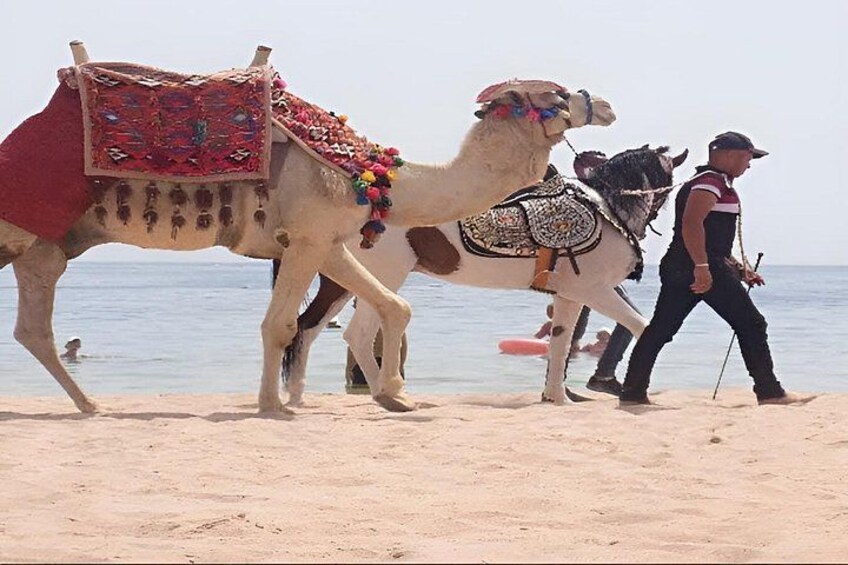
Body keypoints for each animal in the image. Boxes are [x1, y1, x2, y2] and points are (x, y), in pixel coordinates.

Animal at [0, 43, 616, 413]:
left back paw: (90, 405)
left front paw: (396, 396)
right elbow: (280, 325)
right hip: (24, 229)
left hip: (44, 247)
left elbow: (394, 306)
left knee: (33, 329)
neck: (369, 173)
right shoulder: (307, 237)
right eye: (556, 94)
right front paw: (272, 405)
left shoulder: (327, 240)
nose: (606, 105)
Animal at [281, 145, 688, 406]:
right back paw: (382, 393)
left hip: (344, 282)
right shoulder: (595, 290)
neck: (603, 206)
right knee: (357, 333)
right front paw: (635, 390)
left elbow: (559, 344)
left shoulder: (570, 295)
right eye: (667, 179)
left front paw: (557, 397)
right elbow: (642, 327)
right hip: (383, 277)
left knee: (311, 328)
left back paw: (302, 394)